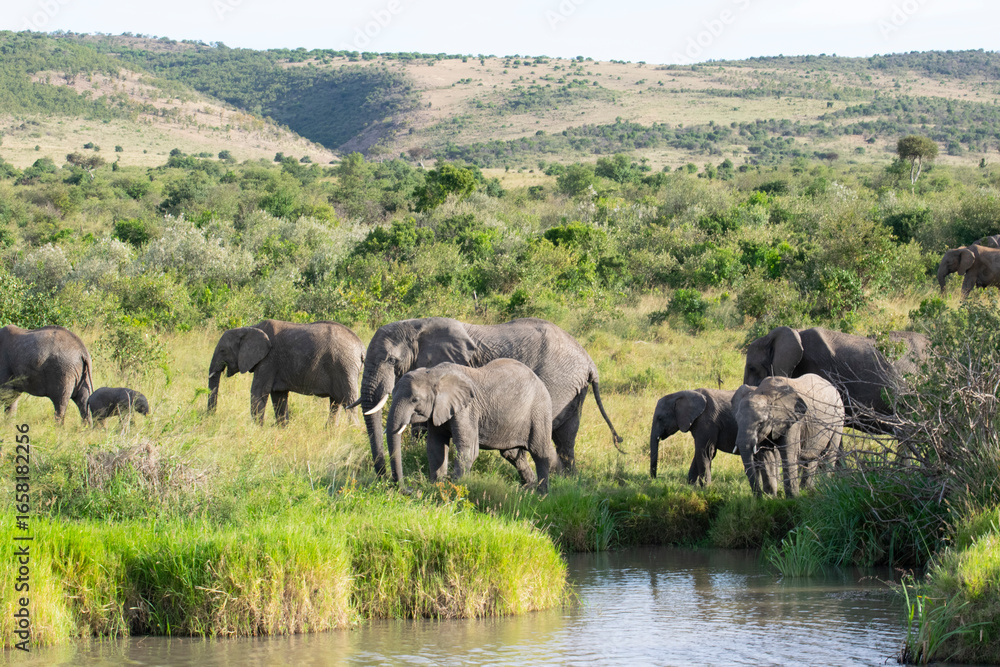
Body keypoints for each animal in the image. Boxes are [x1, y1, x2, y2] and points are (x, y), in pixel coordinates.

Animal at [207, 319, 365, 425]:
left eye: (222, 350)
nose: (211, 417)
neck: (249, 329)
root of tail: (361, 347)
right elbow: (278, 396)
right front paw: (282, 428)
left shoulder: (268, 360)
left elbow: (258, 392)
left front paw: (257, 429)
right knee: (336, 403)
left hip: (344, 367)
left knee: (348, 402)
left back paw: (353, 430)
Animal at [385, 359, 560, 492]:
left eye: (415, 400)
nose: (409, 489)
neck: (434, 373)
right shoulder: (438, 410)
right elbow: (435, 446)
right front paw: (437, 485)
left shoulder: (467, 409)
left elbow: (467, 447)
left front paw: (456, 486)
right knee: (512, 454)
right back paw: (527, 489)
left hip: (540, 411)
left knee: (539, 452)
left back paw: (541, 493)